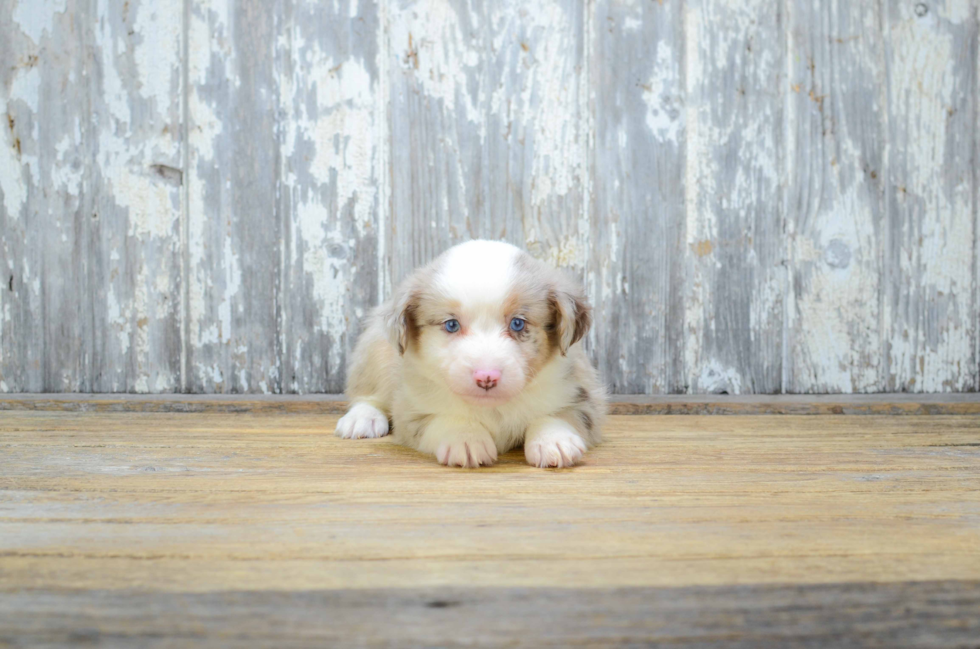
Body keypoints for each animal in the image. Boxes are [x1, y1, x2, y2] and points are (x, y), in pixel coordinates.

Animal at [334, 238, 600, 466]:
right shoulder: (410, 410)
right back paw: (361, 419)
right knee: (366, 393)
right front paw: (465, 437)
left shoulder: (582, 393)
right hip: (376, 350)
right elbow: (443, 418)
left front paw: (554, 440)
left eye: (517, 323)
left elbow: (558, 414)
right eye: (452, 324)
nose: (486, 377)